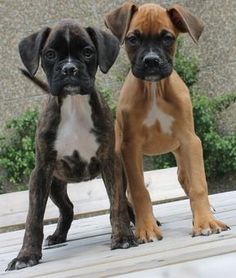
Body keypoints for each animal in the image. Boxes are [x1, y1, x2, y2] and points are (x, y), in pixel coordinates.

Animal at [6, 19, 136, 272]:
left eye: (87, 52)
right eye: (50, 54)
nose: (69, 69)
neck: (74, 105)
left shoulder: (110, 162)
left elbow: (117, 204)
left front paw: (123, 236)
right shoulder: (41, 171)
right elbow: (33, 218)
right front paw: (26, 255)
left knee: (122, 201)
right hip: (55, 185)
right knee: (67, 209)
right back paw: (58, 236)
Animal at [104, 1, 229, 243]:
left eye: (167, 38)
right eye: (133, 39)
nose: (151, 61)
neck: (154, 90)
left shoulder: (190, 141)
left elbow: (199, 185)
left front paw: (205, 222)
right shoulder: (130, 148)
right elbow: (140, 191)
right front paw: (146, 229)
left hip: (181, 154)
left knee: (186, 180)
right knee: (129, 192)